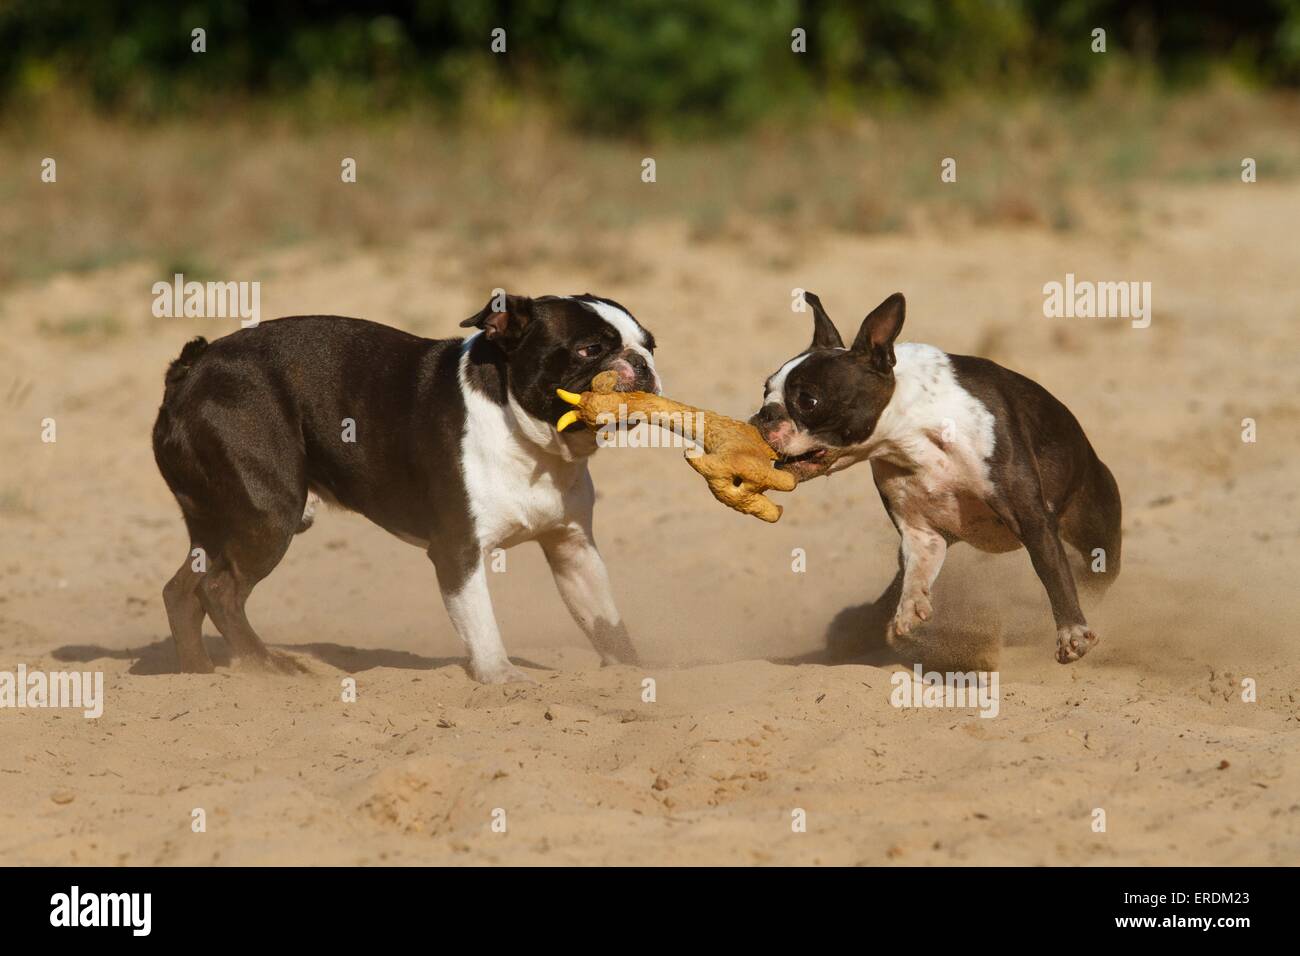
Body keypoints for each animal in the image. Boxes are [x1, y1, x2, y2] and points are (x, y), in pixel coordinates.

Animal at [152, 290, 660, 681]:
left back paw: (200, 676)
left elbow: (605, 620)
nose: (641, 362)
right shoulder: (458, 551)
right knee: (220, 591)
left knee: (183, 592)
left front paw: (632, 672)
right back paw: (268, 668)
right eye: (589, 349)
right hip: (270, 515)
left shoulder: (572, 548)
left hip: (222, 523)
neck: (529, 440)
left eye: (650, 344)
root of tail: (191, 370)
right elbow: (481, 622)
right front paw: (502, 677)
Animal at [754, 291, 1118, 665]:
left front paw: (1072, 633)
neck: (910, 431)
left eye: (808, 400)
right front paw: (909, 611)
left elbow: (1053, 572)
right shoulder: (921, 533)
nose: (764, 415)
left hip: (1096, 536)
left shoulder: (1031, 520)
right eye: (765, 390)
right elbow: (915, 573)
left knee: (1091, 573)